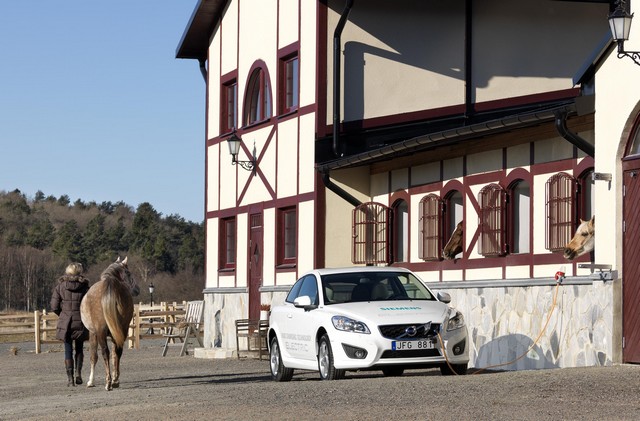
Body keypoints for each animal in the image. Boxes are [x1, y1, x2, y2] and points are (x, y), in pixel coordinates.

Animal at [80, 256, 139, 390]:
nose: (137, 289)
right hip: (122, 329)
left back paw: (108, 383)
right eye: (128, 273)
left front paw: (91, 381)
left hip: (101, 332)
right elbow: (114, 355)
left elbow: (93, 356)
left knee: (104, 352)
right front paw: (115, 378)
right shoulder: (115, 333)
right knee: (118, 351)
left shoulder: (93, 333)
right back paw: (115, 381)